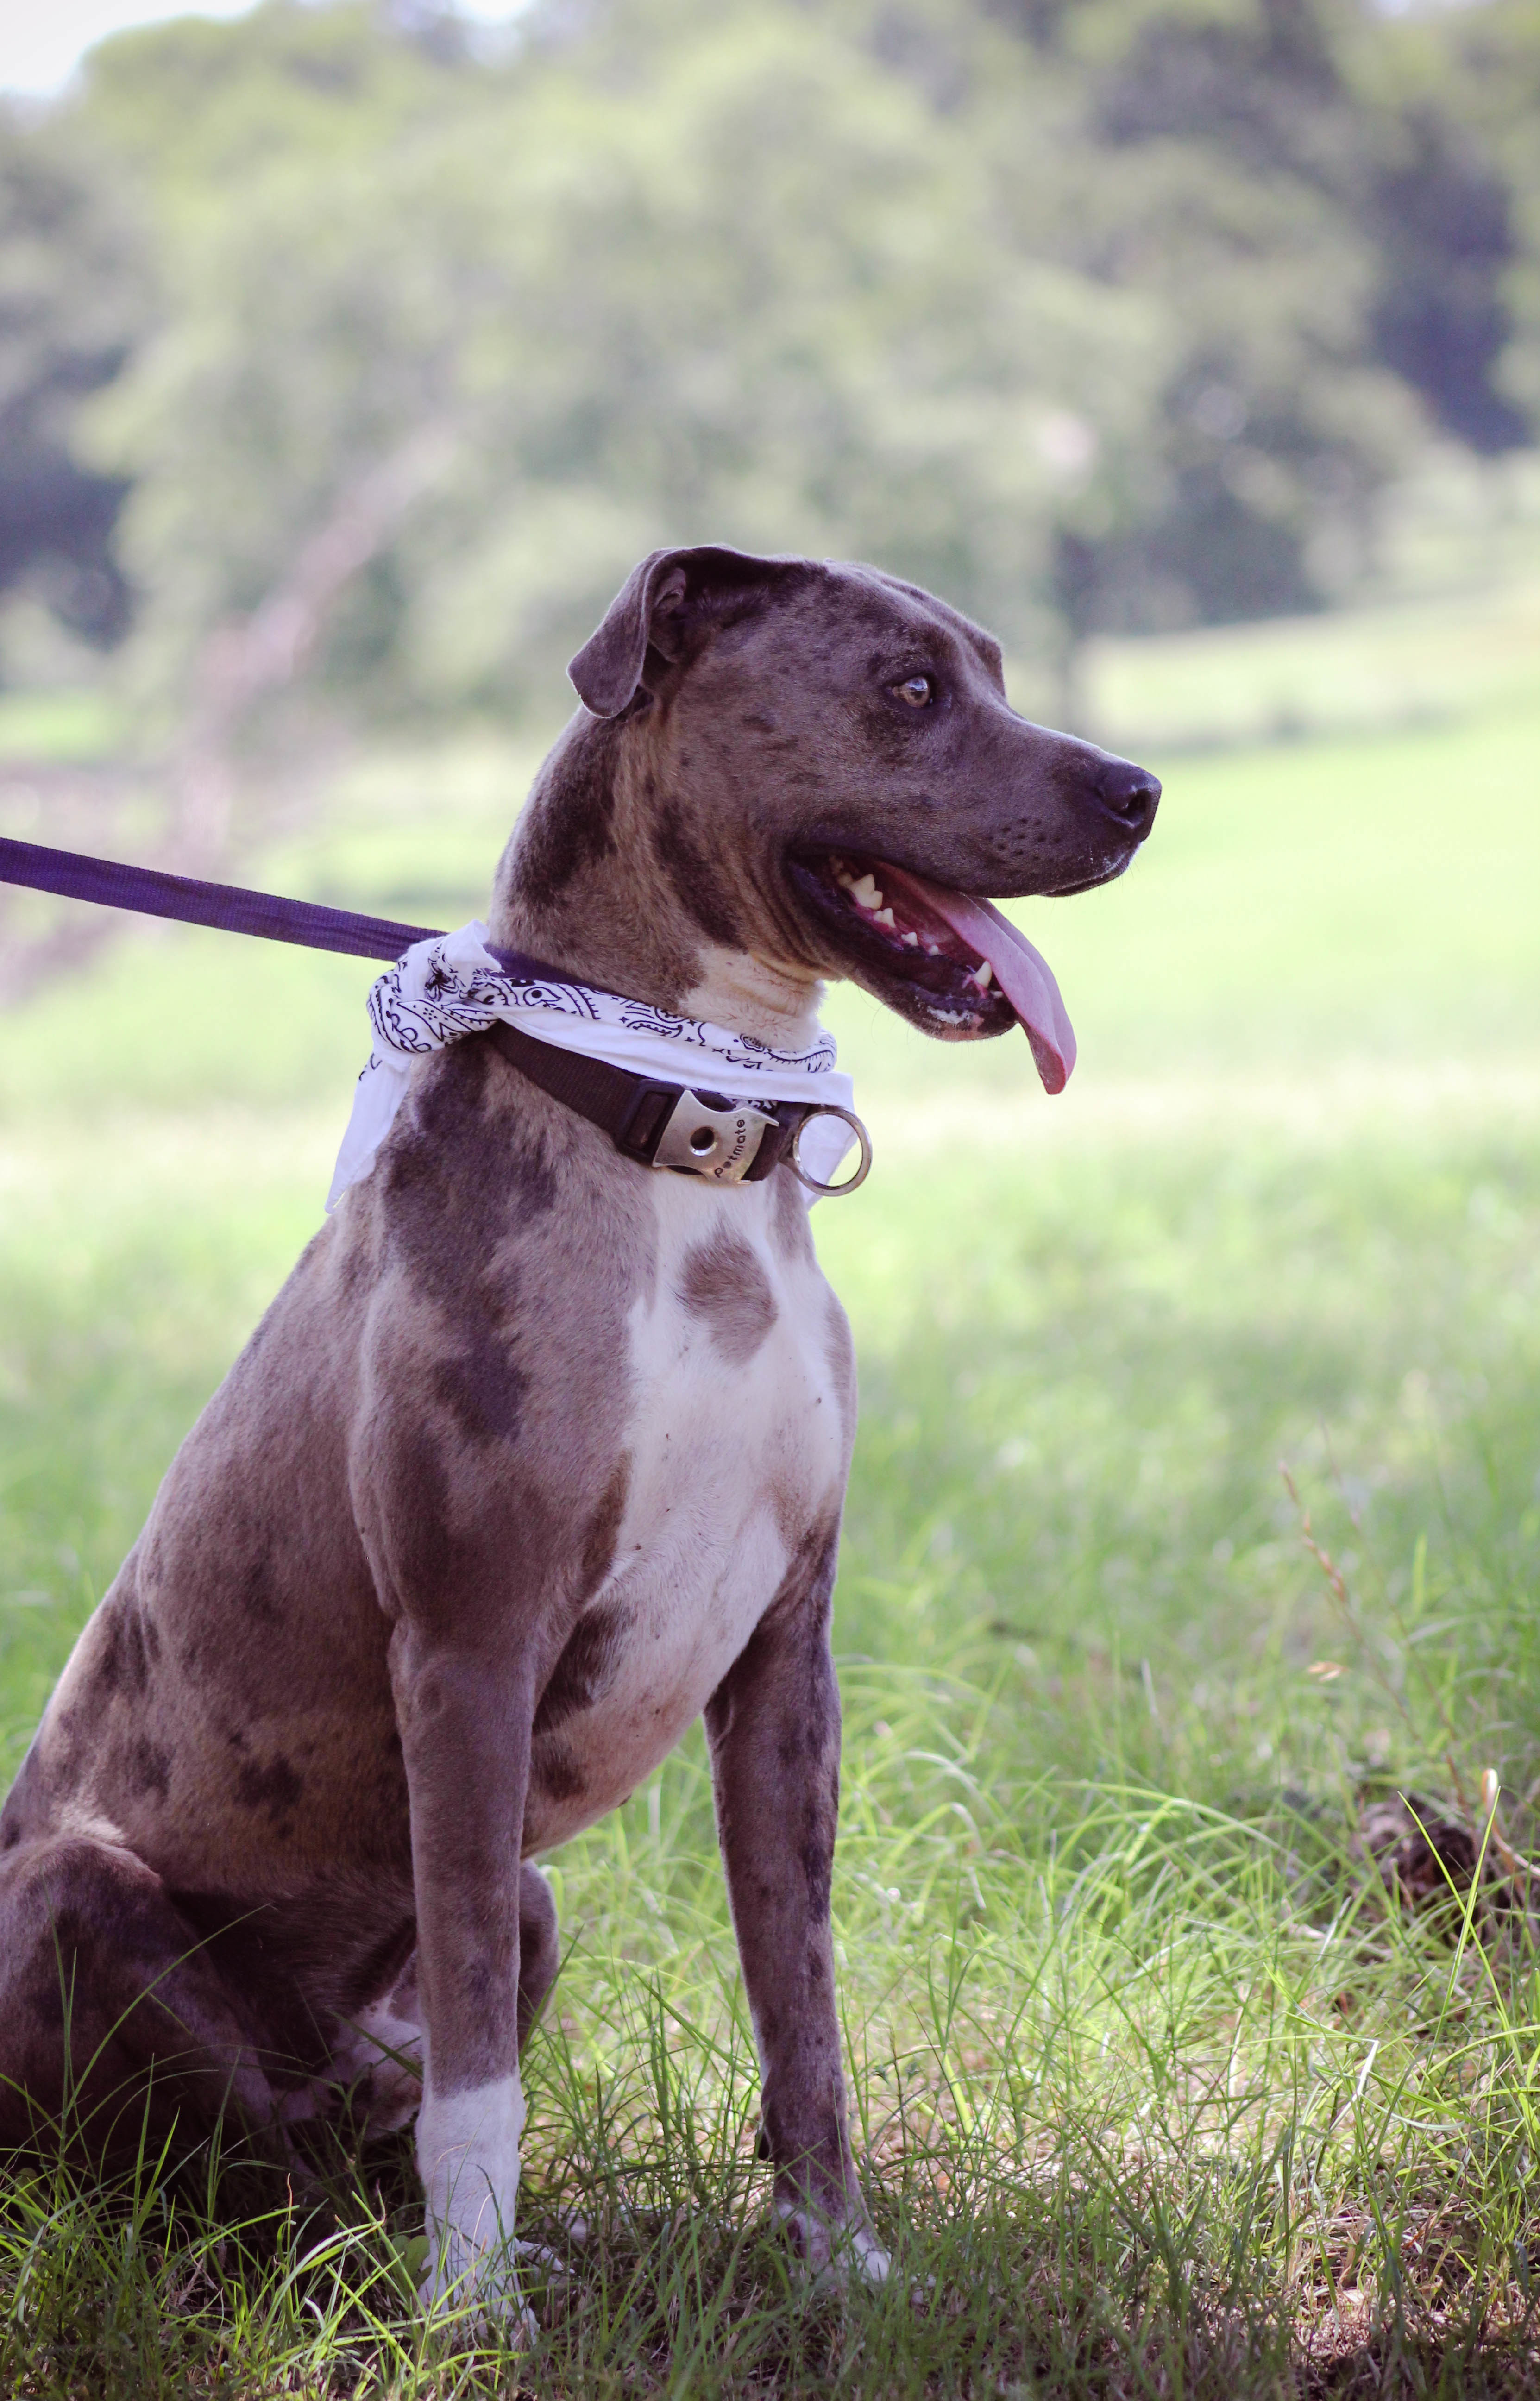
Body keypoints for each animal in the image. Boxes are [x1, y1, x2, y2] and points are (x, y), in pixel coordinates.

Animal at [0, 550, 1153, 2324]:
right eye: (905, 689)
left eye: (992, 670)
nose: (1137, 791)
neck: (679, 1121)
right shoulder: (470, 1648)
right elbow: (478, 2059)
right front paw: (476, 2315)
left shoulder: (787, 1657)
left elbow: (799, 2007)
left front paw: (839, 2262)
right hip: (76, 1896)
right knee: (254, 2172)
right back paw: (381, 2273)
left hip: (524, 1906)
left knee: (335, 2123)